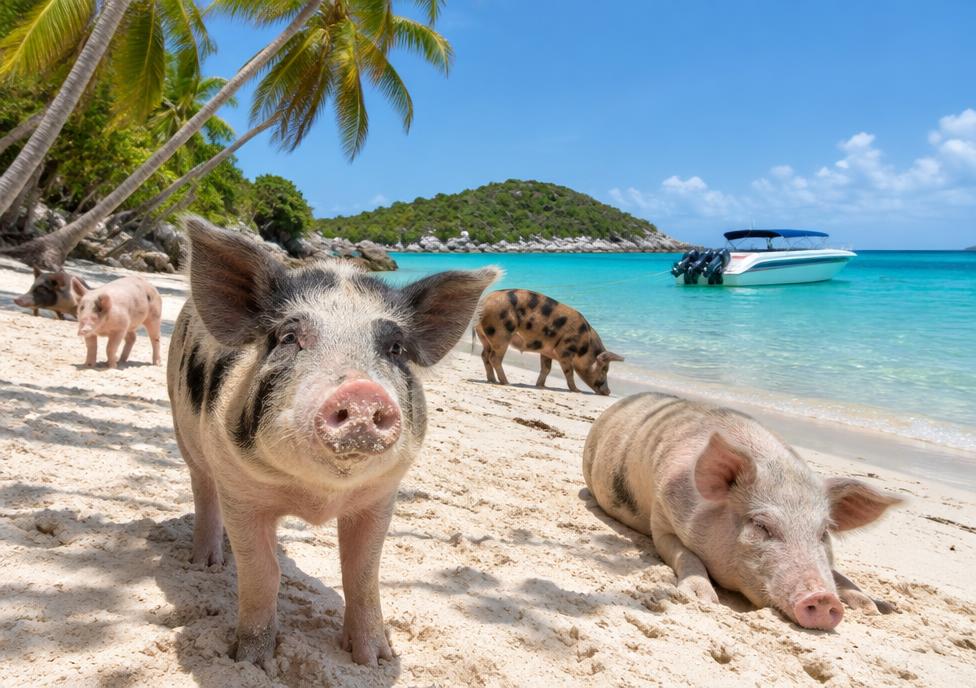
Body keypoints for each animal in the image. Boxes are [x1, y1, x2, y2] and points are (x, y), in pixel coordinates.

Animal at [167, 217, 498, 671]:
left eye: (395, 348)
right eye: (289, 336)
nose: (361, 392)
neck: (318, 496)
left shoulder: (380, 496)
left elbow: (362, 573)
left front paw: (374, 660)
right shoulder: (240, 490)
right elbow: (262, 572)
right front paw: (251, 662)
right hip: (182, 428)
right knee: (202, 488)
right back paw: (207, 563)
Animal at [474, 289, 623, 395]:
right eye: (604, 370)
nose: (609, 392)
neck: (585, 347)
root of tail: (484, 302)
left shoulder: (546, 351)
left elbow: (546, 368)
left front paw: (540, 386)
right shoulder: (564, 351)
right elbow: (569, 372)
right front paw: (577, 391)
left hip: (484, 337)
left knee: (484, 356)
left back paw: (492, 380)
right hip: (501, 335)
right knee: (494, 358)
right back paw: (507, 383)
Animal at [582, 392, 903, 631]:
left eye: (823, 533)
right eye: (761, 525)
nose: (824, 599)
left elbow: (838, 573)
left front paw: (872, 607)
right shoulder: (661, 520)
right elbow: (685, 554)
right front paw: (704, 599)